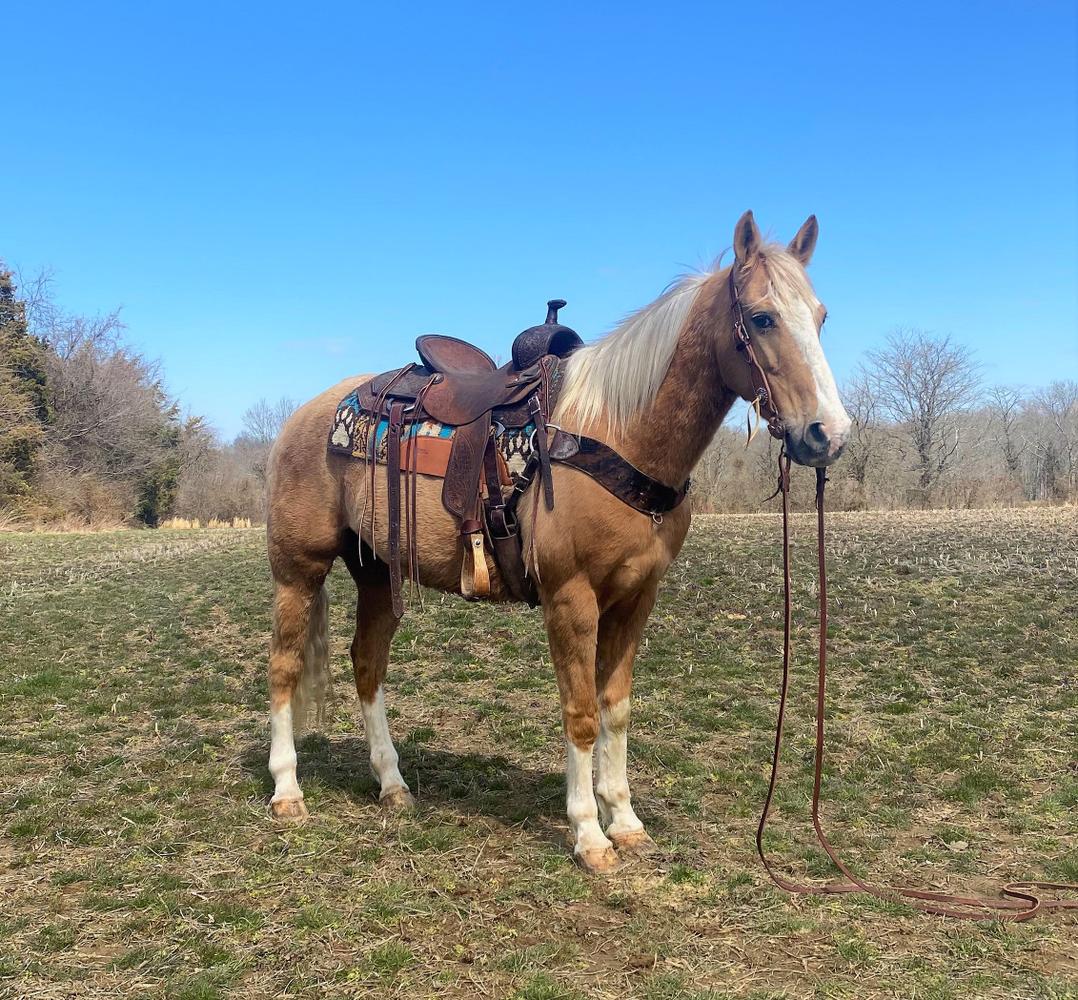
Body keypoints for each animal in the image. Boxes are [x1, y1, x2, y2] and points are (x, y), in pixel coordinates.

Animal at [264, 211, 851, 872]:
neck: (617, 433)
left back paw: (392, 785)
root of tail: (305, 414)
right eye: (762, 318)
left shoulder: (635, 599)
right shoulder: (572, 599)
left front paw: (625, 820)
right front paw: (589, 833)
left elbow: (615, 707)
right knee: (283, 667)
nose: (827, 434)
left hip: (377, 575)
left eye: (821, 316)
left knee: (368, 665)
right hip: (298, 572)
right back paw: (287, 791)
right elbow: (582, 714)